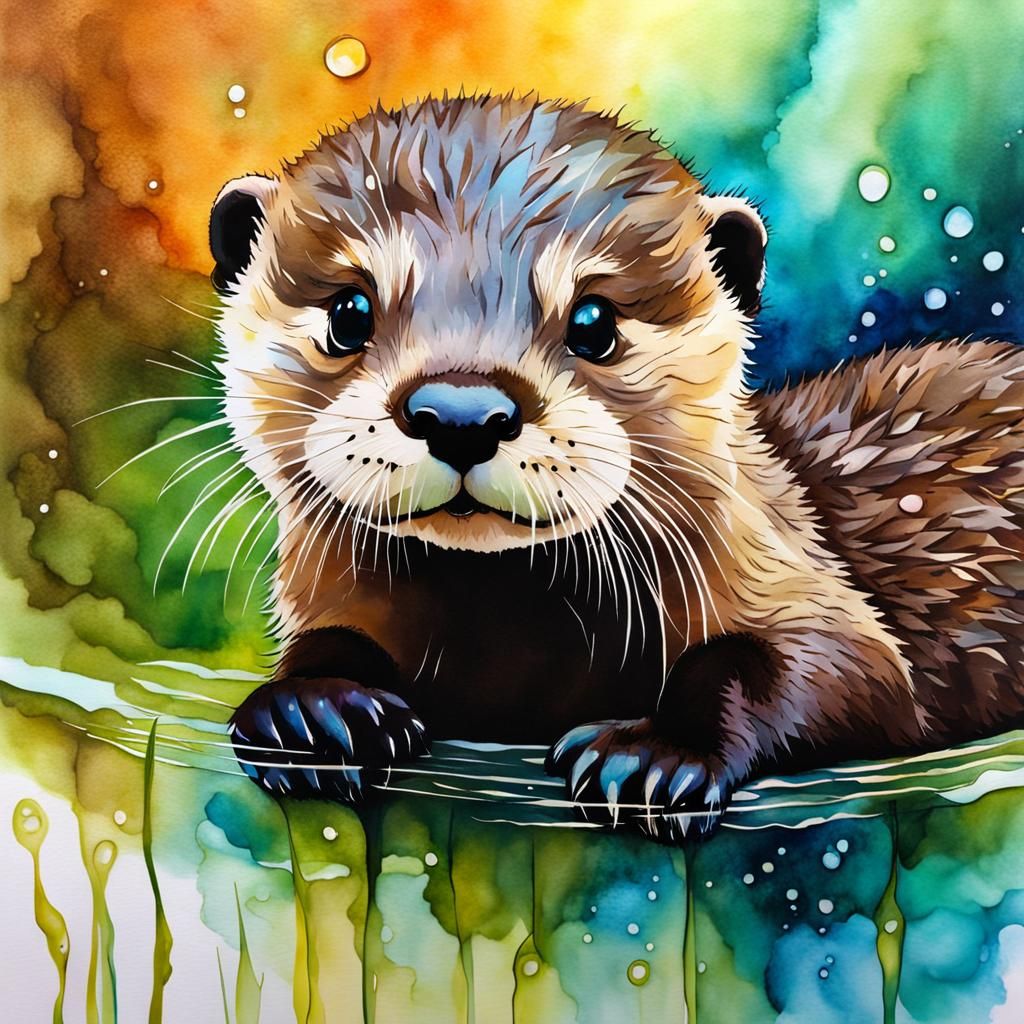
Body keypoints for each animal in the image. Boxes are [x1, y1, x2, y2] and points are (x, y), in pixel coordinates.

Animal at [215, 94, 1024, 840]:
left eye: (594, 322)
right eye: (349, 312)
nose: (461, 413)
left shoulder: (799, 576)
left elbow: (818, 663)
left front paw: (655, 754)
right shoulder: (328, 593)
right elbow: (325, 641)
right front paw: (314, 710)